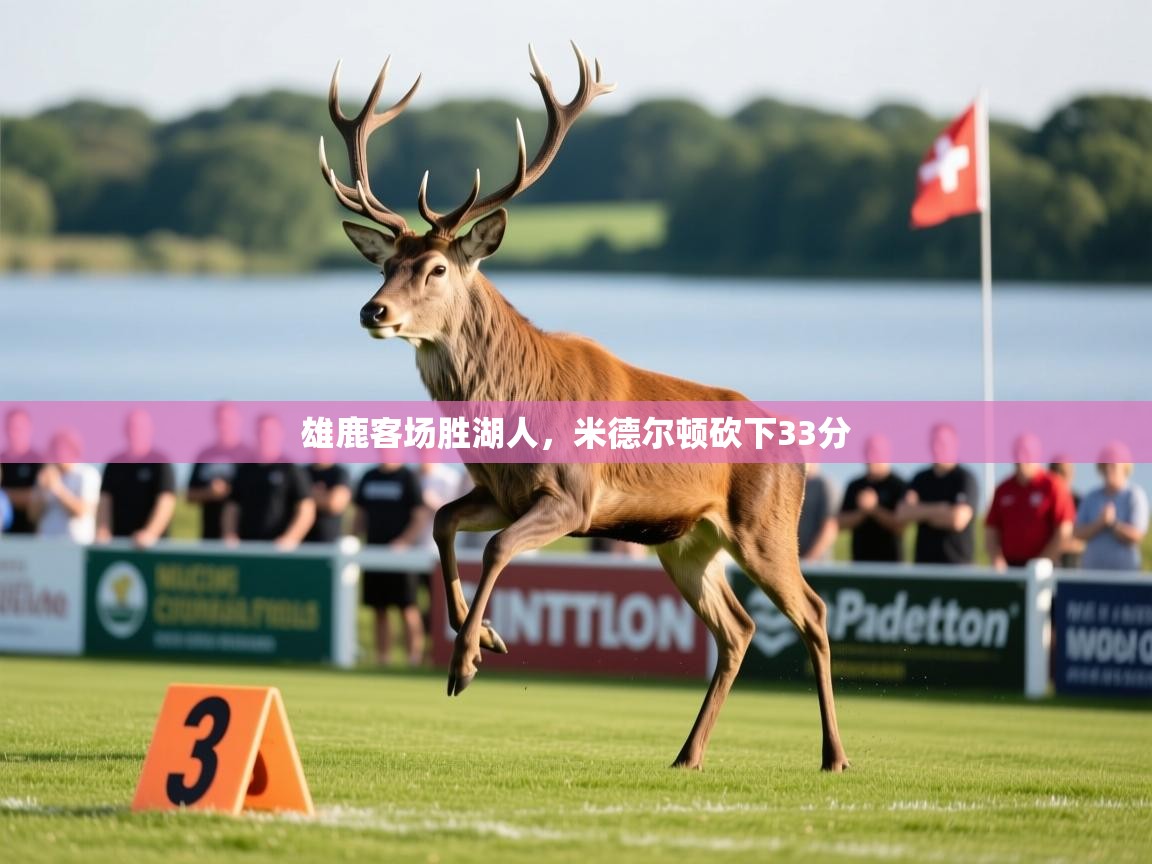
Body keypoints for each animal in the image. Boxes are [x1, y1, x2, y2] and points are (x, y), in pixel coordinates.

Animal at [320, 43, 849, 773]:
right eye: (384, 266)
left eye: (437, 269)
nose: (374, 311)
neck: (517, 403)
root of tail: (799, 448)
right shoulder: (500, 490)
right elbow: (442, 523)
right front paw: (486, 636)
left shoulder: (574, 497)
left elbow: (497, 548)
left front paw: (466, 662)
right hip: (688, 542)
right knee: (738, 629)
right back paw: (688, 753)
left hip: (766, 526)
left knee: (816, 613)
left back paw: (833, 755)